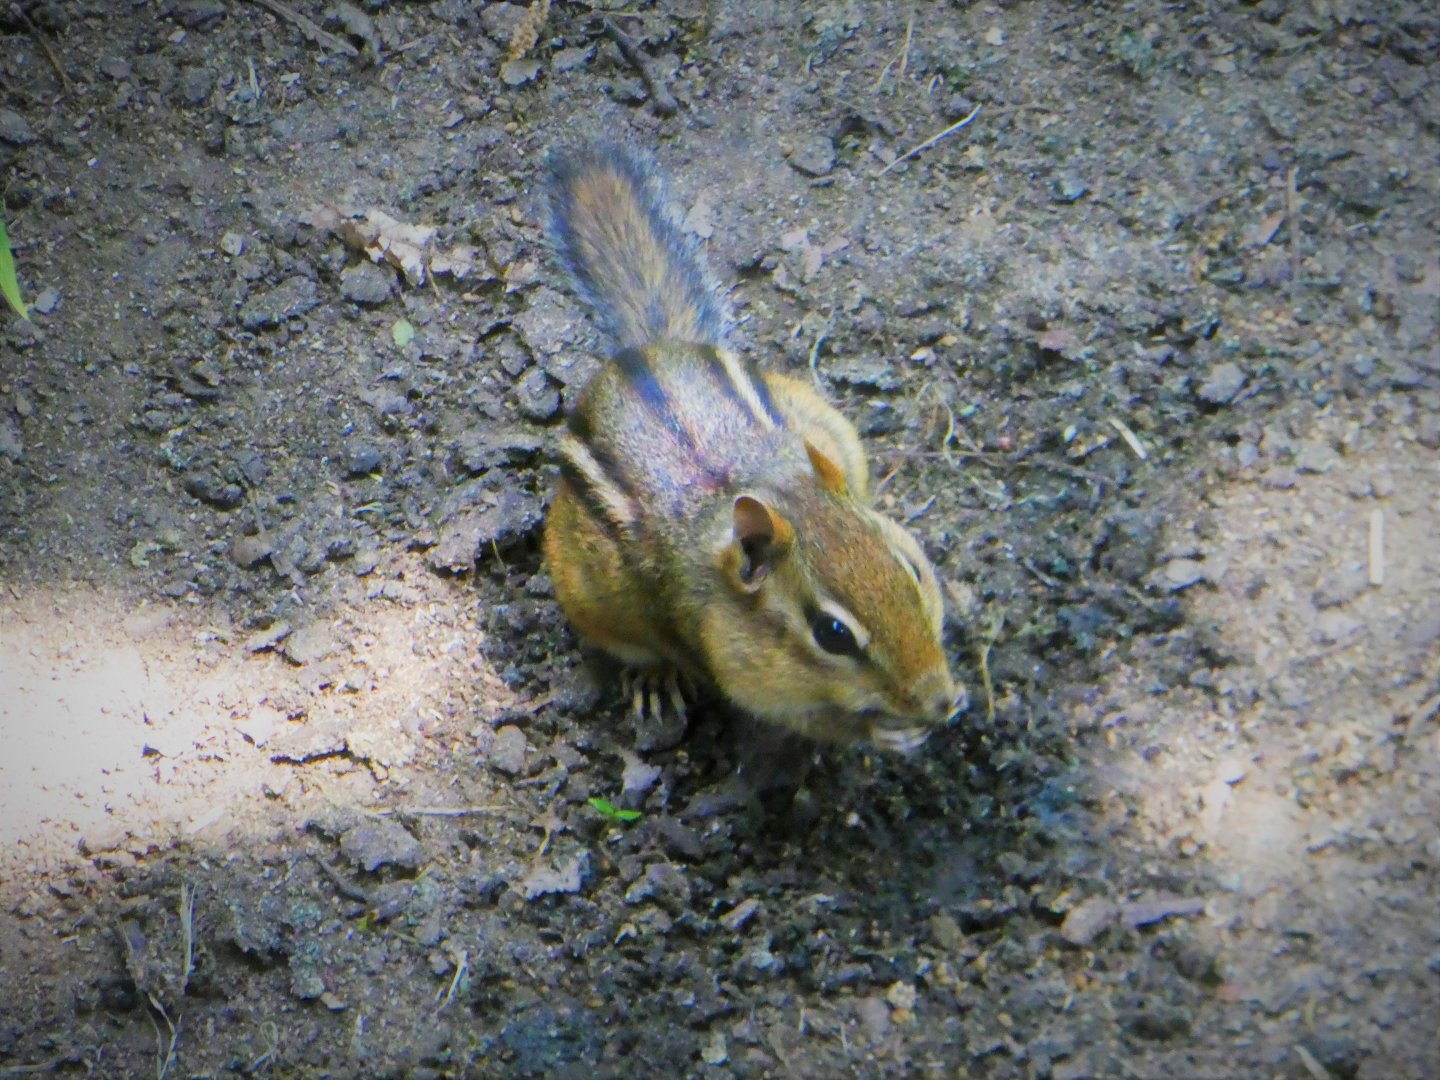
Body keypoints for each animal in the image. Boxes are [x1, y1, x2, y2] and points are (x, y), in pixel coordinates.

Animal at [541, 145, 961, 752]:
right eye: (833, 633)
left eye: (912, 568)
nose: (940, 700)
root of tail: (642, 349)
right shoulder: (737, 670)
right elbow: (810, 721)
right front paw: (882, 732)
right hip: (584, 592)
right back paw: (655, 675)